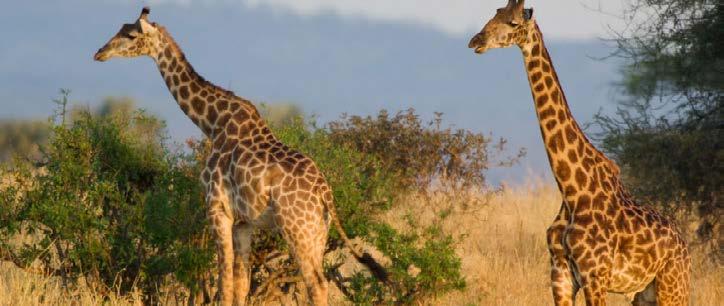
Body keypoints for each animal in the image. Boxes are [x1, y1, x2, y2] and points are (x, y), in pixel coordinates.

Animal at [94, 7, 388, 306]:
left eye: (131, 35)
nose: (99, 53)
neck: (212, 123)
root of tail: (324, 192)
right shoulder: (244, 222)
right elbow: (241, 284)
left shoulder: (217, 208)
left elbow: (224, 283)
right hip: (318, 230)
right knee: (321, 281)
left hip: (296, 229)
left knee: (315, 283)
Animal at [466, 1, 692, 304]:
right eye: (495, 13)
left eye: (513, 23)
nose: (476, 41)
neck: (572, 190)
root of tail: (685, 246)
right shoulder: (559, 274)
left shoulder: (595, 276)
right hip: (643, 293)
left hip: (673, 285)